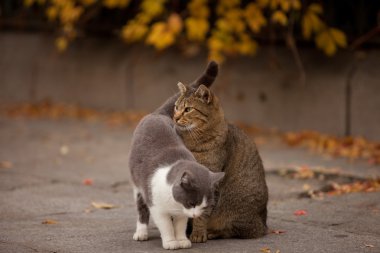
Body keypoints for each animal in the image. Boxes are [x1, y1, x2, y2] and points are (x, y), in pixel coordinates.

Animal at [128, 61, 223, 249]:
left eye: (204, 206)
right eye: (192, 202)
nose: (196, 216)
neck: (176, 205)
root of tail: (158, 114)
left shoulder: (182, 213)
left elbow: (179, 224)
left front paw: (182, 240)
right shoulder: (157, 207)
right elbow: (165, 225)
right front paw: (171, 242)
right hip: (137, 186)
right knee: (141, 209)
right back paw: (141, 232)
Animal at [172, 68, 268, 242]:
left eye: (188, 109)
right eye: (176, 107)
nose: (175, 117)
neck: (192, 141)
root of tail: (264, 224)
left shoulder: (209, 180)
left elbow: (201, 213)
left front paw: (198, 233)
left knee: (234, 231)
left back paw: (212, 232)